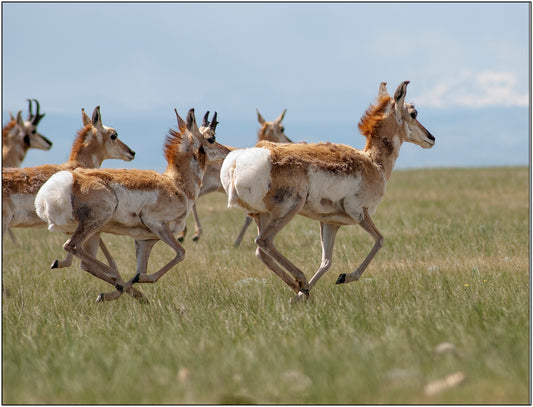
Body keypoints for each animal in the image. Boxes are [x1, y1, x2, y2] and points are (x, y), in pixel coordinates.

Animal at [36, 108, 228, 302]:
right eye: (211, 138)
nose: (228, 151)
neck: (176, 185)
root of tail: (69, 180)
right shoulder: (157, 224)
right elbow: (181, 253)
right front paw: (127, 286)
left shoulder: (146, 240)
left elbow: (141, 271)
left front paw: (113, 293)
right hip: (97, 220)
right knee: (72, 246)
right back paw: (114, 274)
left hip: (92, 230)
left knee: (78, 257)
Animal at [218, 81, 434, 302]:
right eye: (414, 113)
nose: (431, 137)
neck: (373, 163)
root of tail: (237, 162)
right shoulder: (359, 212)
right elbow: (380, 240)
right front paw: (345, 277)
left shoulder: (330, 222)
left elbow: (326, 261)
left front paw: (301, 296)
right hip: (289, 210)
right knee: (264, 241)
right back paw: (301, 280)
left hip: (262, 216)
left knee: (260, 251)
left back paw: (300, 288)